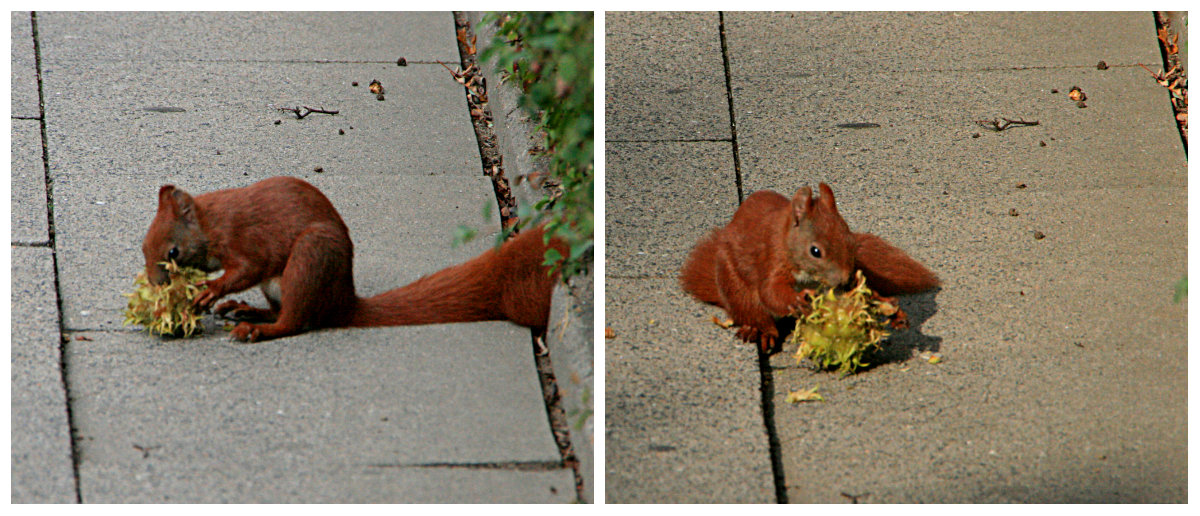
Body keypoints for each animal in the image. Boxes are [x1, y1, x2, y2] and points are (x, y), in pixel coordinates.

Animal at [141, 177, 566, 343]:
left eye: (172, 253)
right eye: (143, 249)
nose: (156, 287)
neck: (211, 223)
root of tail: (344, 302)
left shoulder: (247, 240)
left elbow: (248, 267)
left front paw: (208, 290)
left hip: (310, 258)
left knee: (295, 322)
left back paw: (256, 329)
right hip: (284, 283)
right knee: (286, 312)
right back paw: (246, 310)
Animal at [681, 183, 940, 352]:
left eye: (850, 241)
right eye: (815, 251)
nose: (845, 280)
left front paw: (891, 309)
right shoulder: (772, 259)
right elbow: (770, 292)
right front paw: (797, 300)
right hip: (734, 284)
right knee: (751, 310)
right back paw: (759, 330)